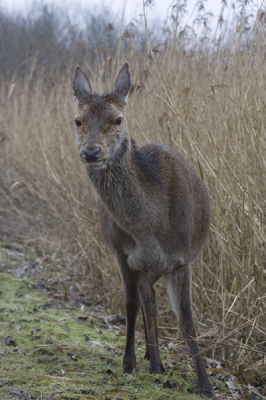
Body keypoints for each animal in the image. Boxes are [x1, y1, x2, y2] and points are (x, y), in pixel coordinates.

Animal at [72, 63, 212, 396]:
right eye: (78, 120)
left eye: (118, 119)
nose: (91, 152)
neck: (150, 231)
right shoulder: (121, 252)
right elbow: (131, 304)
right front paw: (128, 364)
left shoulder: (182, 258)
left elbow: (187, 320)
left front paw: (205, 384)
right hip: (145, 266)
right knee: (148, 299)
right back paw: (153, 358)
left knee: (153, 299)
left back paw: (155, 358)